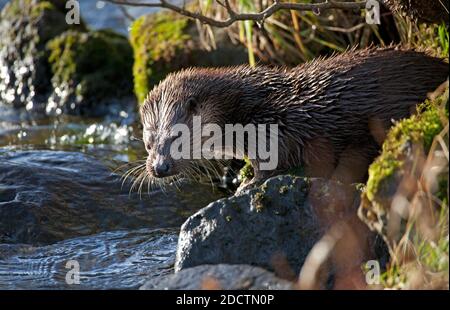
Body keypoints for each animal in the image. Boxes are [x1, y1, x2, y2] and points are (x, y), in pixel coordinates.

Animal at [139, 47, 448, 190]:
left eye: (176, 136)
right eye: (148, 143)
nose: (159, 168)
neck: (249, 106)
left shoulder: (271, 129)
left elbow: (272, 163)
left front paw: (247, 185)